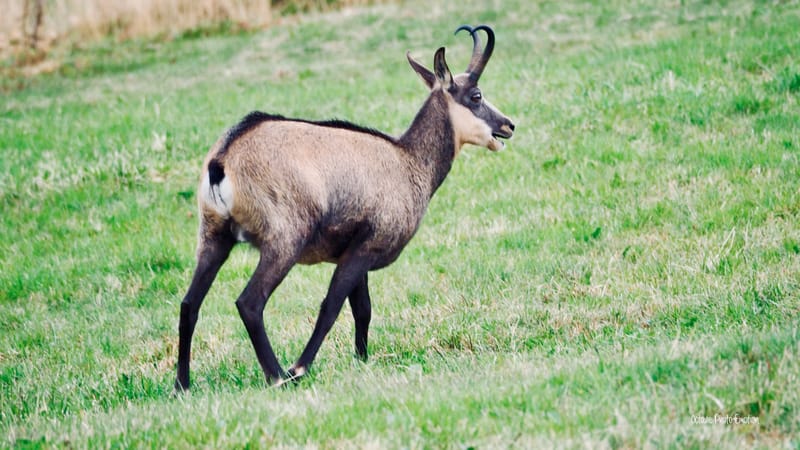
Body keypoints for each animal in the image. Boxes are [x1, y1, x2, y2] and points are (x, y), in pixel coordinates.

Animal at [175, 24, 515, 390]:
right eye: (476, 95)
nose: (508, 125)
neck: (408, 161)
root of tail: (223, 159)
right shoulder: (364, 249)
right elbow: (331, 307)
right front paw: (301, 367)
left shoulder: (356, 253)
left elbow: (362, 309)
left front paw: (362, 359)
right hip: (284, 241)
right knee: (249, 302)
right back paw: (278, 376)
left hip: (214, 236)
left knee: (189, 304)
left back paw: (182, 385)